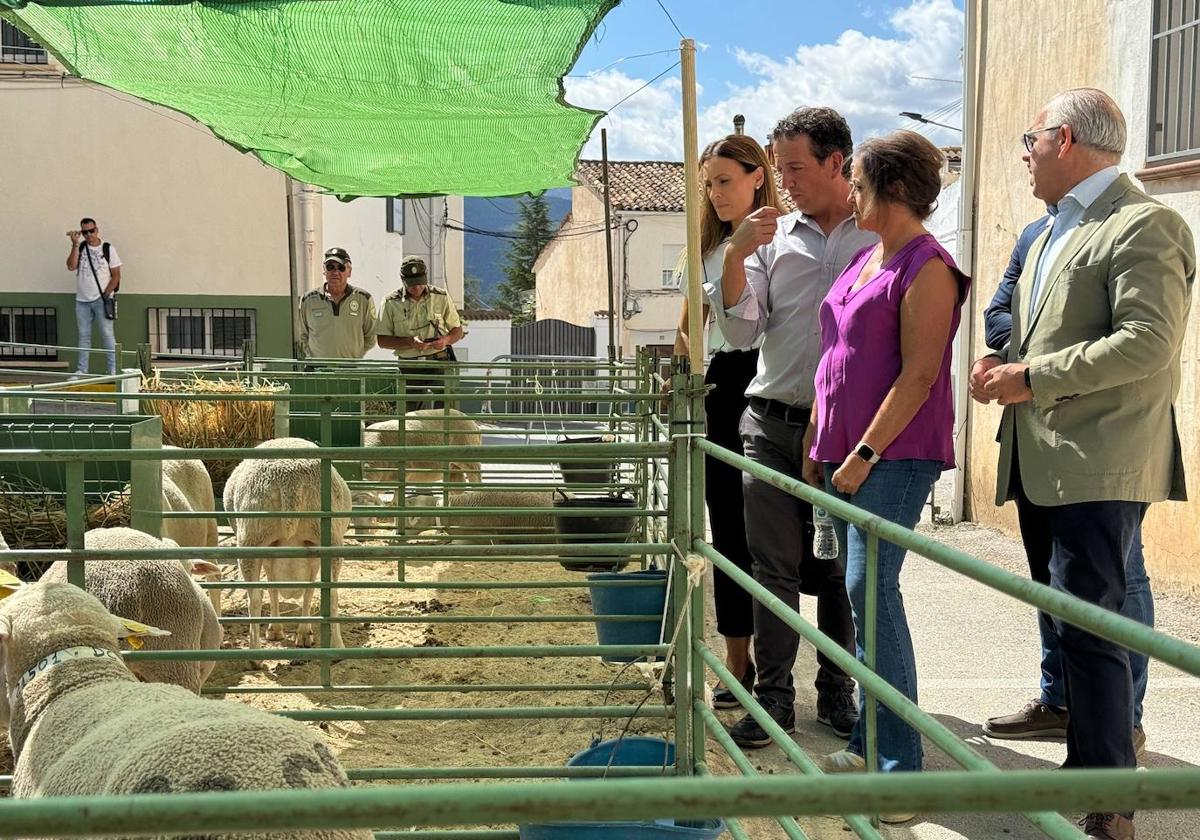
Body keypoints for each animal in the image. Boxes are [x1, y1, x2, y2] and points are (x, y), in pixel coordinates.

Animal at [223, 439, 350, 657]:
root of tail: (290, 480)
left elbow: (279, 589)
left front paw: (282, 630)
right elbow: (305, 591)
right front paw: (301, 633)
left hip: (251, 536)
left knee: (255, 597)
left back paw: (254, 652)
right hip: (329, 539)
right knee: (331, 594)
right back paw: (336, 647)